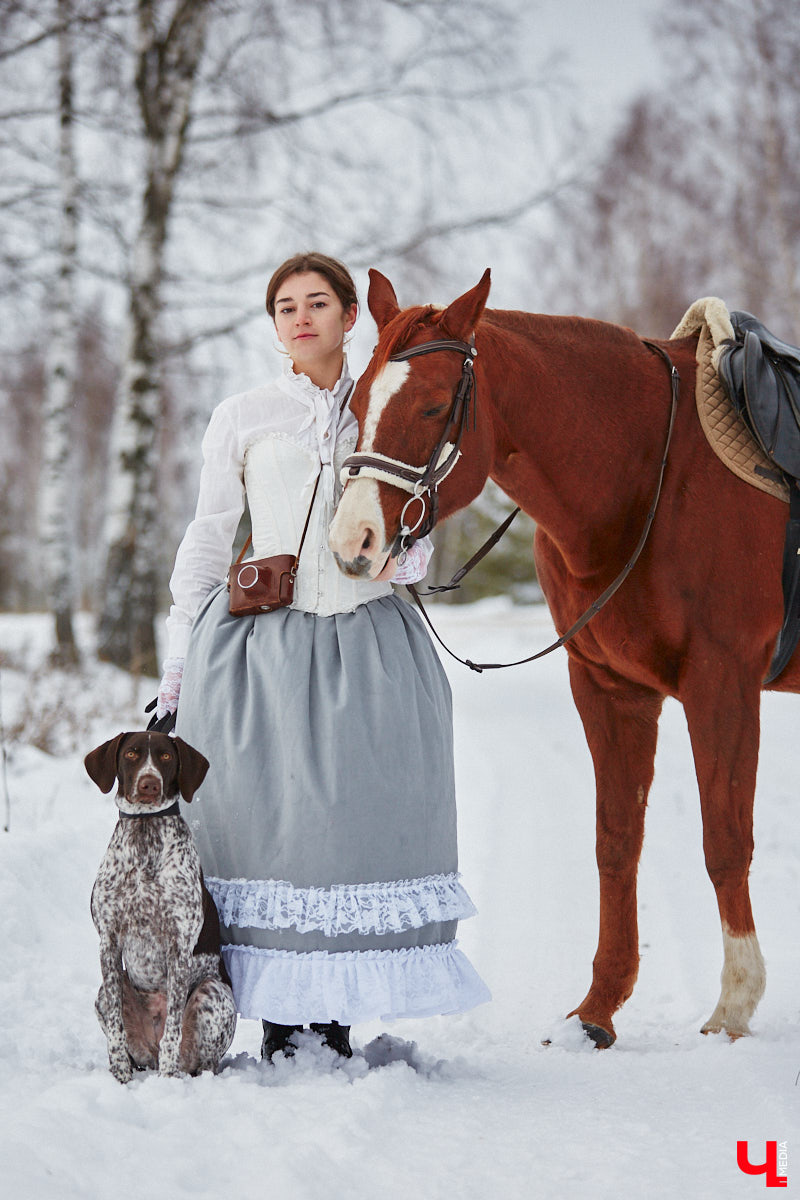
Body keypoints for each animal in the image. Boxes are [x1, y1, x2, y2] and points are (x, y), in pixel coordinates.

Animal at [84, 724, 236, 1084]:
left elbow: (172, 1032)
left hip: (214, 993)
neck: (145, 832)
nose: (149, 784)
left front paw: (168, 1084)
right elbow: (116, 1030)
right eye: (131, 754)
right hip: (104, 993)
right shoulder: (108, 942)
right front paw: (120, 1078)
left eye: (166, 756)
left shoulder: (178, 946)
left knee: (195, 1058)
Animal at [326, 270, 800, 1051]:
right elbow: (616, 841)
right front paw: (598, 1009)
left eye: (433, 406)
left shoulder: (722, 683)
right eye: (358, 402)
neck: (652, 476)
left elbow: (725, 840)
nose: (352, 542)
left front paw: (734, 1004)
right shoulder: (609, 689)